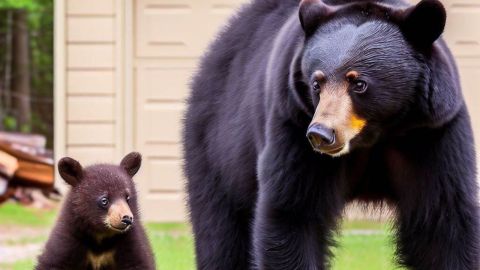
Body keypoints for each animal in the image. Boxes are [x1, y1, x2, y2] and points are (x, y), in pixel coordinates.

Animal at [183, 0, 476, 268]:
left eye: (359, 83)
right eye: (317, 83)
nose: (321, 134)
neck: (374, 135)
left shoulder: (431, 131)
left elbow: (442, 220)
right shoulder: (292, 123)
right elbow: (292, 212)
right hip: (216, 147)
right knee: (221, 232)